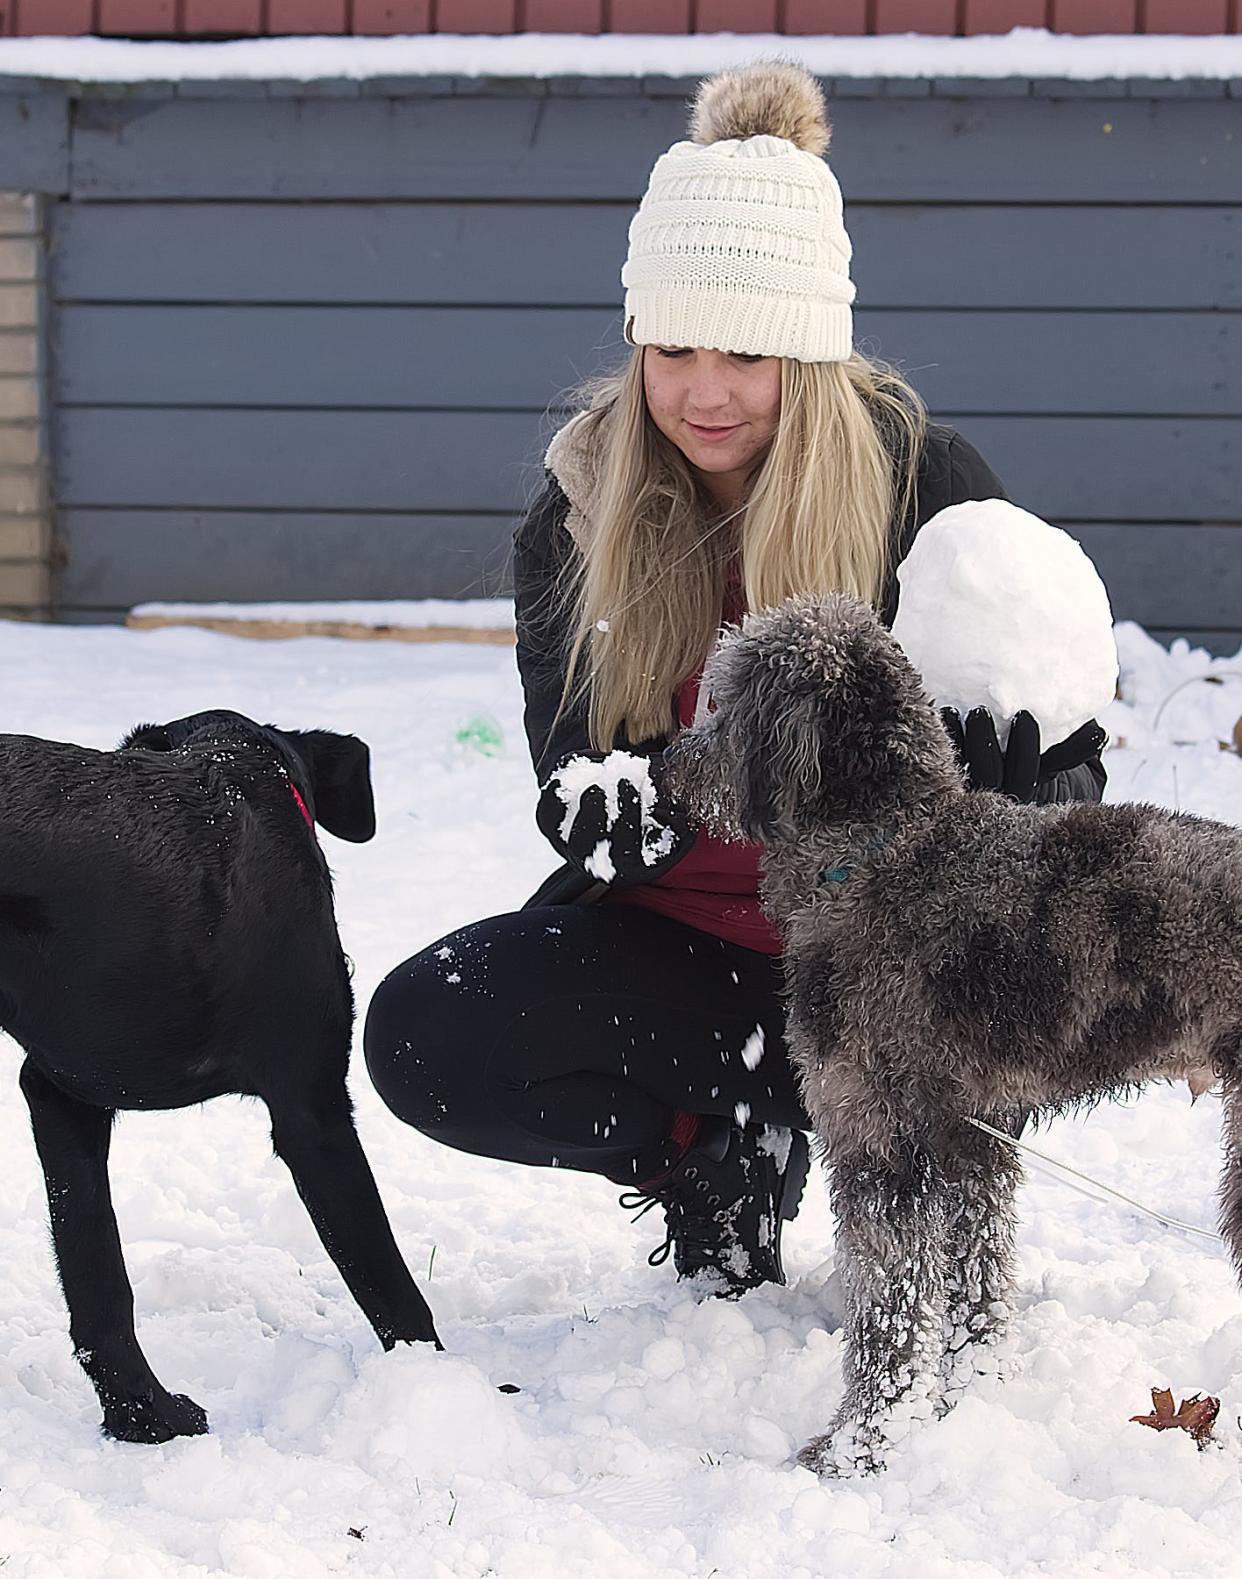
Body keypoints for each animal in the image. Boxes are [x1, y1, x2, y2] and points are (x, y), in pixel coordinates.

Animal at [0, 713, 438, 1446]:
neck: (242, 765)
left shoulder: (63, 1094)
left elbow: (96, 1271)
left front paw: (141, 1416)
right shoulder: (312, 1107)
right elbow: (387, 1281)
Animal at [665, 593, 1242, 1477]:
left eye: (723, 705)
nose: (666, 763)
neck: (882, 851)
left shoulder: (876, 1137)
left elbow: (890, 1312)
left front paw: (863, 1444)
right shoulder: (973, 1139)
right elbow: (976, 1286)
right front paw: (971, 1395)